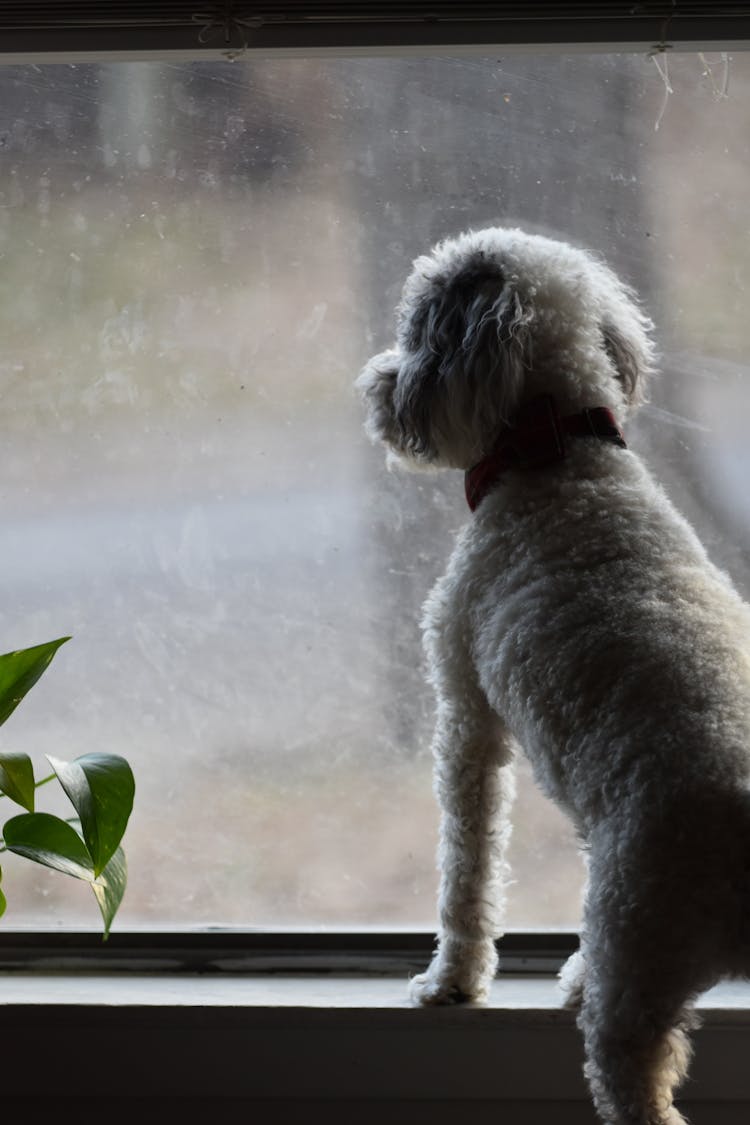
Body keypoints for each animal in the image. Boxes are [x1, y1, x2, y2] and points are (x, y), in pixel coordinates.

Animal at [355, 221, 750, 1125]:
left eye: (418, 326)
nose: (379, 386)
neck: (558, 455)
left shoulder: (466, 717)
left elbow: (467, 872)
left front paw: (451, 982)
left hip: (638, 955)